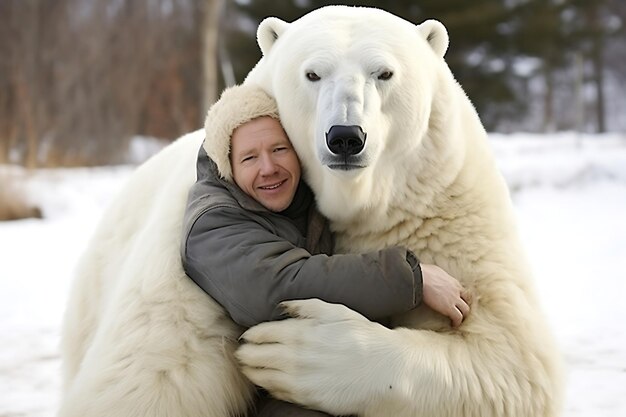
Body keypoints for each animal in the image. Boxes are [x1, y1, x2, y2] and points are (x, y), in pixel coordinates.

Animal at [58, 4, 564, 416]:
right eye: (312, 74)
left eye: (384, 73)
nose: (345, 137)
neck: (355, 200)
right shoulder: (188, 245)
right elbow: (151, 375)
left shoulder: (446, 209)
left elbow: (508, 362)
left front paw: (297, 352)